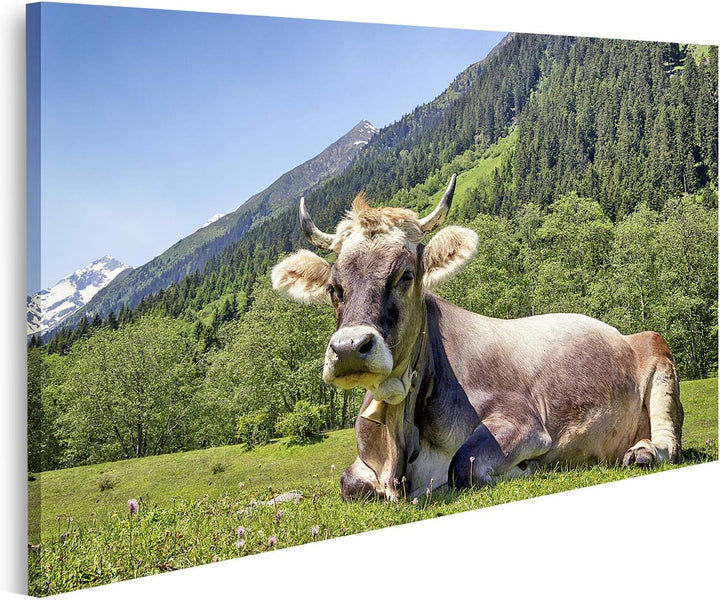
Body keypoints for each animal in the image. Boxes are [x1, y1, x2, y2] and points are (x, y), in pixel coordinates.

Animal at [271, 174, 684, 500]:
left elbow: (462, 467)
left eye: (405, 275)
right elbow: (349, 483)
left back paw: (644, 452)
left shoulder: (523, 422)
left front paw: (525, 470)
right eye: (333, 288)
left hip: (658, 352)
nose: (350, 348)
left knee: (669, 441)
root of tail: (623, 334)